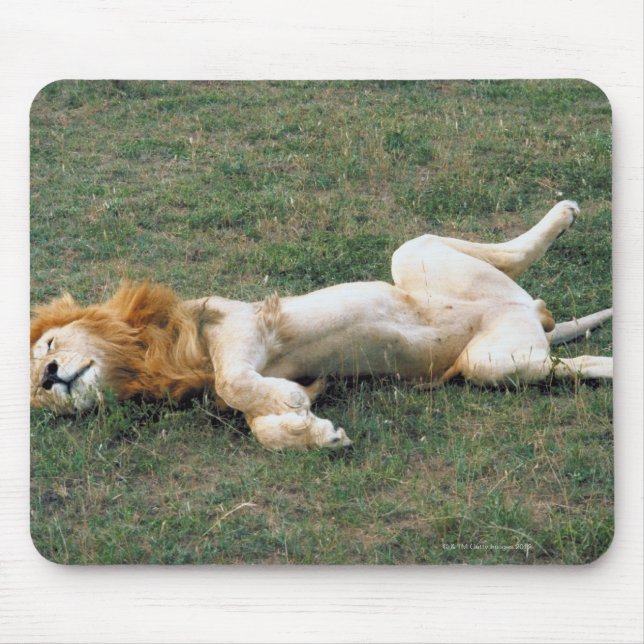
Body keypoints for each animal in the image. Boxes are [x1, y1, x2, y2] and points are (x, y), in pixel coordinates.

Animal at [31, 200, 612, 449]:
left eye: (48, 345)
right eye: (36, 395)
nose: (48, 376)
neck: (148, 360)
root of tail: (529, 315)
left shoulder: (238, 324)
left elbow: (234, 381)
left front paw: (294, 410)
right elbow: (261, 425)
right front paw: (316, 432)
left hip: (417, 257)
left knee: (509, 254)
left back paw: (564, 215)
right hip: (494, 362)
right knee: (573, 360)